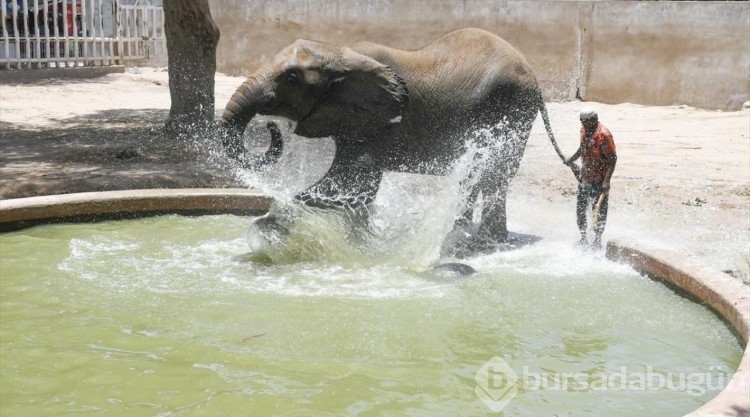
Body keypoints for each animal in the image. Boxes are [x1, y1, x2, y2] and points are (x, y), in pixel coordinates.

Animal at [220, 29, 568, 252]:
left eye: (291, 79)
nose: (271, 127)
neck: (339, 51)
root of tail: (534, 77)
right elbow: (351, 184)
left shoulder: (377, 123)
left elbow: (351, 182)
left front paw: (271, 229)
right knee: (481, 175)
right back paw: (465, 233)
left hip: (511, 107)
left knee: (496, 174)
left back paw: (483, 243)